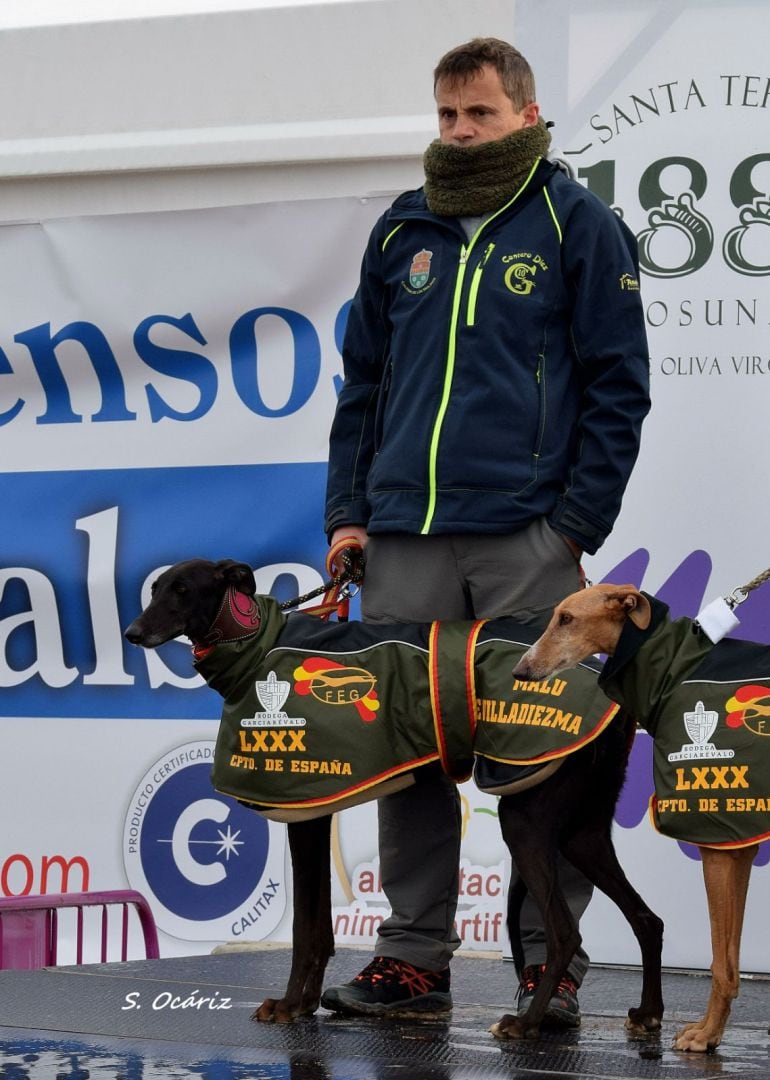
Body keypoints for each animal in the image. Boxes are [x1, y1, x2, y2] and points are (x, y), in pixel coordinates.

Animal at [126, 557, 665, 1036]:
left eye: (183, 591)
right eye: (154, 589)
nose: (132, 633)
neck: (256, 645)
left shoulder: (304, 812)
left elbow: (305, 929)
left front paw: (288, 1004)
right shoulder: (316, 811)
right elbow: (319, 928)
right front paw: (304, 1003)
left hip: (525, 819)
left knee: (565, 932)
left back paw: (528, 1022)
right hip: (582, 832)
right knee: (647, 918)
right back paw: (648, 1014)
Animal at [509, 587, 764, 1049]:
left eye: (567, 619)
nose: (522, 670)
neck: (672, 663)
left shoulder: (718, 845)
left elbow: (721, 963)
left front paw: (705, 1036)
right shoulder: (738, 845)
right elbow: (729, 960)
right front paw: (710, 1031)